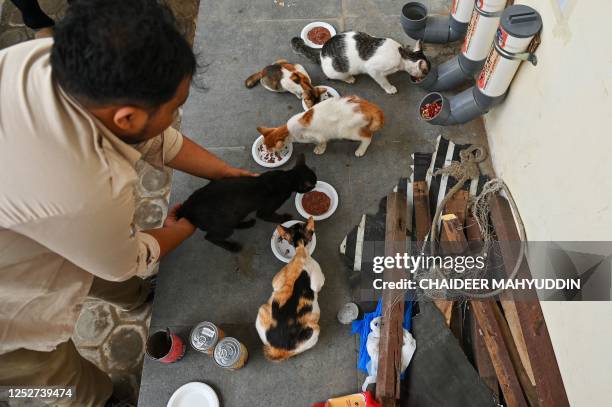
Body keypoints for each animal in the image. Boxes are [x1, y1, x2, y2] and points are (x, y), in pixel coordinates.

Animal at [177, 155, 316, 253]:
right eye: (312, 184)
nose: (315, 185)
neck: (287, 178)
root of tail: (186, 207)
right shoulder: (265, 211)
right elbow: (270, 216)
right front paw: (284, 218)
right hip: (223, 226)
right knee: (210, 237)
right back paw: (232, 247)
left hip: (232, 216)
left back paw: (247, 224)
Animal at [255, 218, 326, 362]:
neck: (300, 251)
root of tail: (278, 350)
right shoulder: (317, 277)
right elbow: (320, 283)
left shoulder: (276, 280)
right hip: (314, 331)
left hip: (261, 311)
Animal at [292, 31, 430, 94]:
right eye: (426, 72)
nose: (424, 77)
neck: (401, 54)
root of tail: (322, 52)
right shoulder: (373, 69)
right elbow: (382, 80)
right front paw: (389, 88)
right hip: (336, 71)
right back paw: (349, 78)